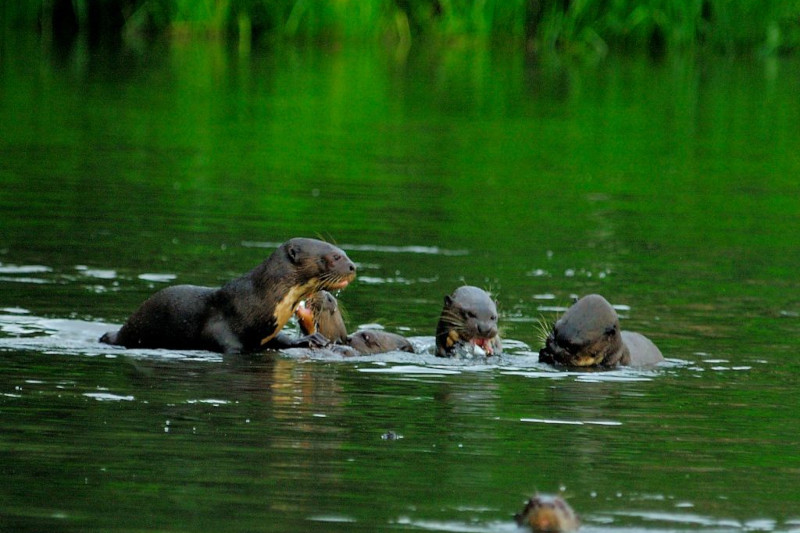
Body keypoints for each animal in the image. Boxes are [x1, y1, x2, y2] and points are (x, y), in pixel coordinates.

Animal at [98, 237, 354, 354]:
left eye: (344, 252)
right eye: (334, 257)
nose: (352, 267)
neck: (257, 300)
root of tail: (119, 332)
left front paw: (312, 339)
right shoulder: (222, 330)